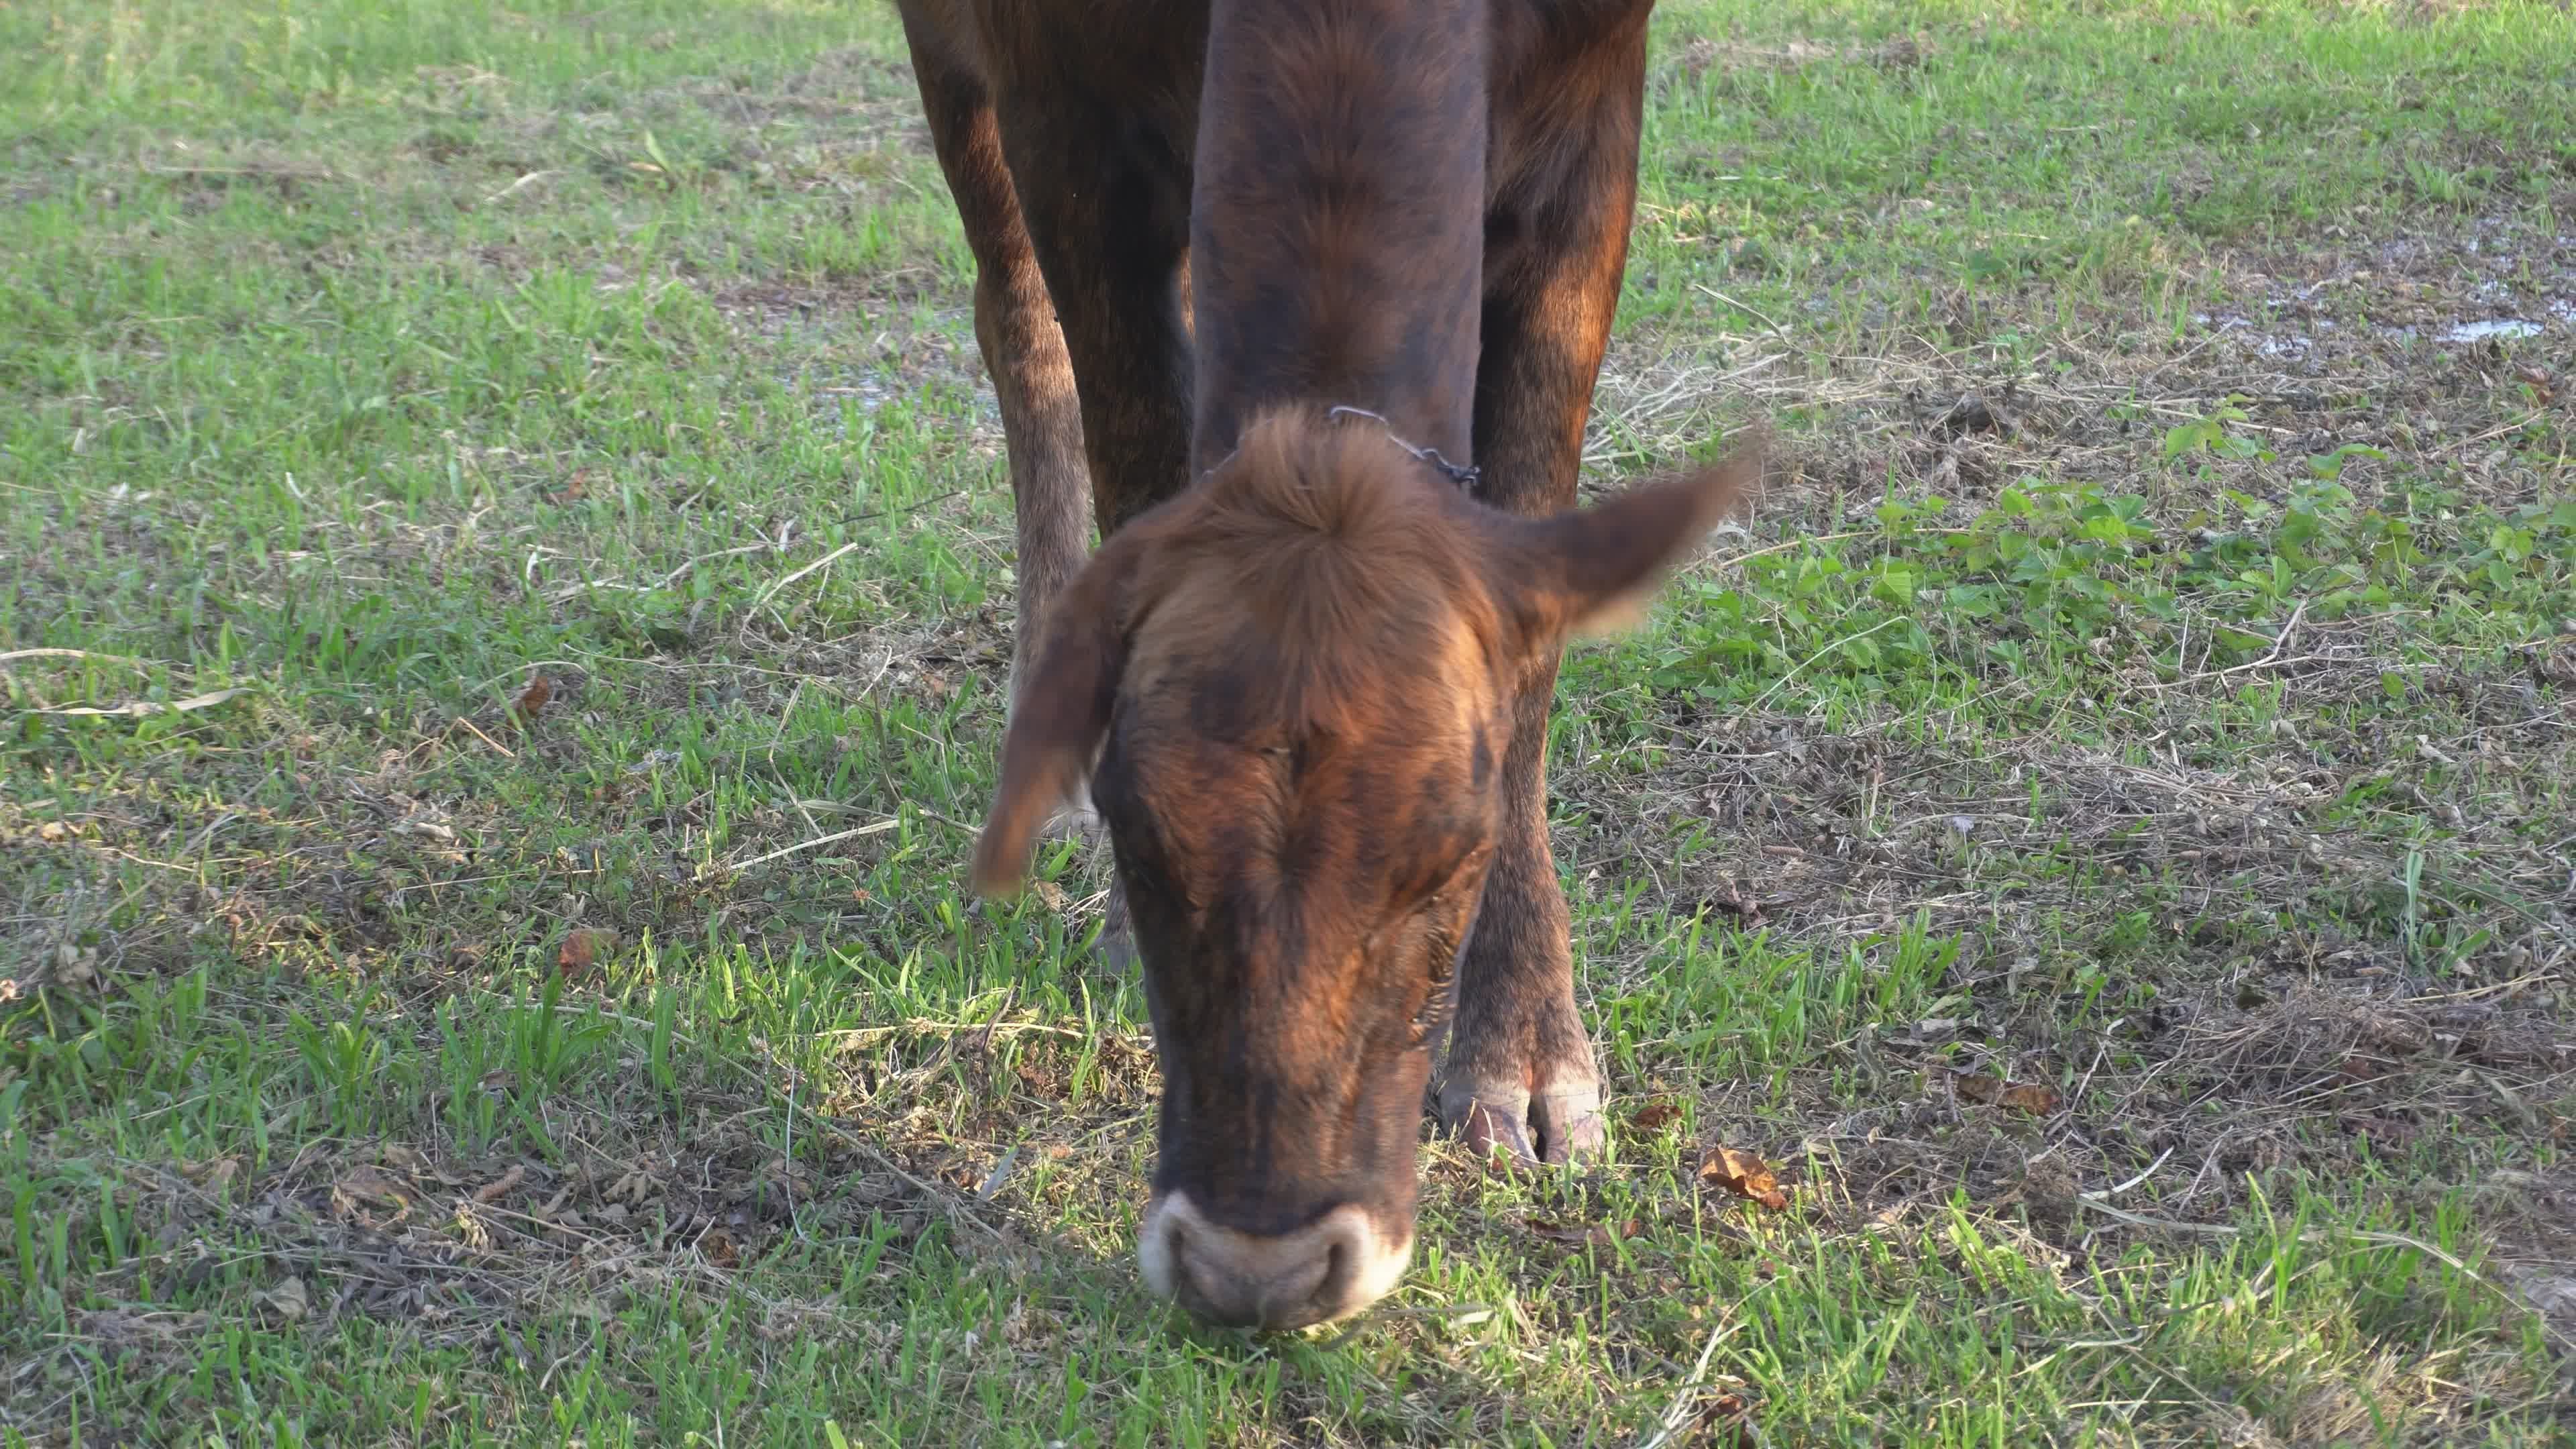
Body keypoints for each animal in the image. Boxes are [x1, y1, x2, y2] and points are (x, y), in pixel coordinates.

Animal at [892, 0, 1755, 1329]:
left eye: (1452, 856)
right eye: (1145, 845)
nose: (1260, 1271)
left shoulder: (1593, 124)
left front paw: (1524, 1050)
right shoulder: (1061, 111)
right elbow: (1130, 444)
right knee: (1013, 323)